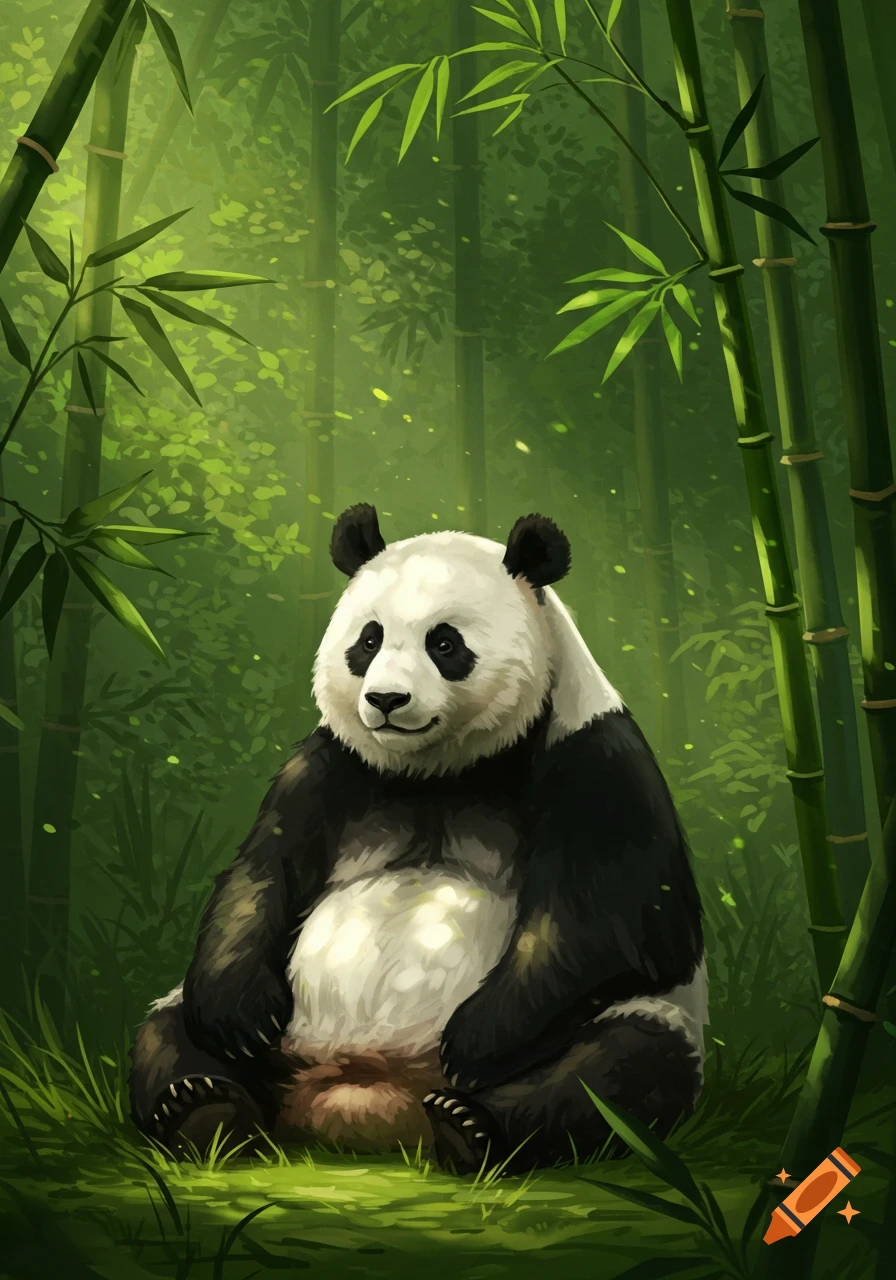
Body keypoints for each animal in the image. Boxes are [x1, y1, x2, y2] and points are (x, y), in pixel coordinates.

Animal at [130, 504, 708, 1175]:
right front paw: (242, 1015)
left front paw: (477, 1040)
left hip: (648, 1020)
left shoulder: (596, 763)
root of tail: (368, 1102)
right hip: (251, 1032)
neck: (442, 770)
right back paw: (201, 1108)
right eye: (369, 639)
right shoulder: (329, 766)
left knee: (622, 1065)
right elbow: (262, 872)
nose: (386, 699)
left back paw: (470, 1126)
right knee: (167, 1030)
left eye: (445, 643)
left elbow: (627, 922)